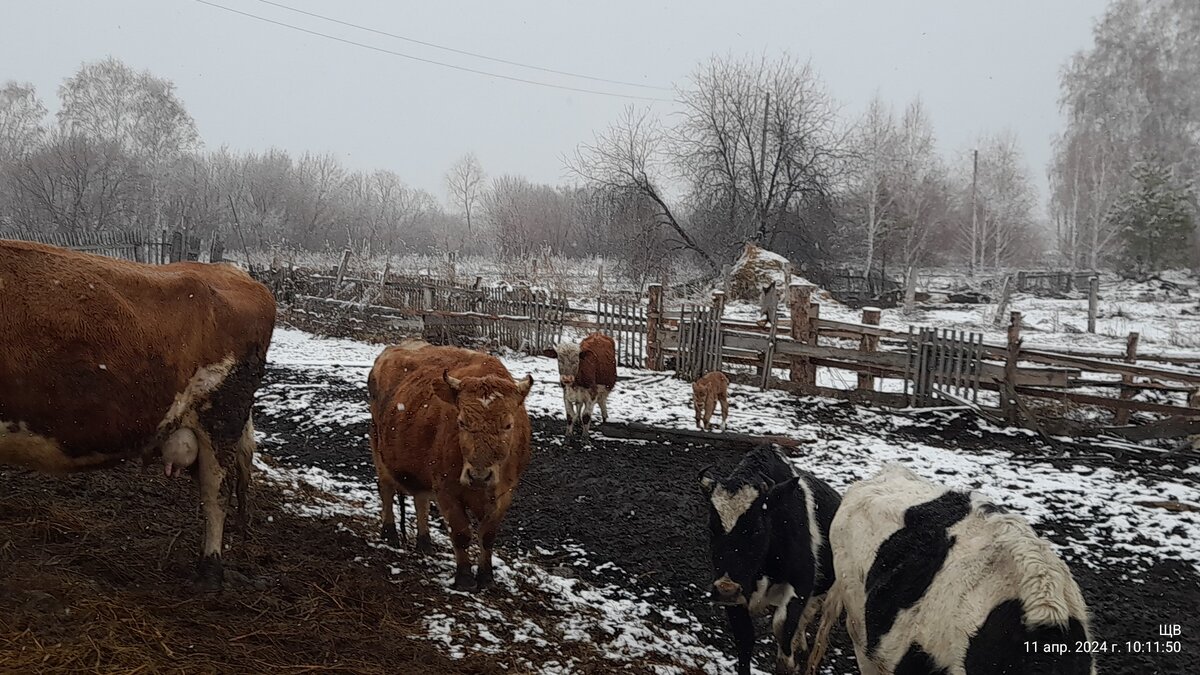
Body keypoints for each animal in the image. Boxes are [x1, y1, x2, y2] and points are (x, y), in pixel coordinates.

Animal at [367, 338, 532, 586]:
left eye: (508, 425)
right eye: (462, 422)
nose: (479, 475)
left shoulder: (504, 494)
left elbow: (487, 536)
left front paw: (486, 576)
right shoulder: (446, 490)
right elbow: (461, 534)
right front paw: (464, 578)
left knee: (421, 499)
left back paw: (424, 542)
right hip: (378, 445)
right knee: (386, 489)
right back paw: (390, 534)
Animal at [700, 444, 840, 667]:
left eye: (757, 529)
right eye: (711, 528)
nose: (726, 589)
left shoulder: (802, 584)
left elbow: (782, 628)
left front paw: (789, 663)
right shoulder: (737, 594)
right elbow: (745, 640)